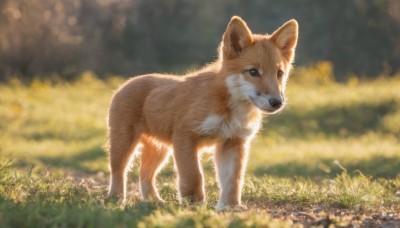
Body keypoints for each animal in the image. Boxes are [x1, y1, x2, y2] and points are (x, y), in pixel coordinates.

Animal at [108, 16, 298, 210]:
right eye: (253, 72)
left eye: (279, 73)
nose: (277, 102)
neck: (229, 108)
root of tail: (127, 82)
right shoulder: (185, 136)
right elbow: (194, 175)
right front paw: (194, 204)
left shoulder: (233, 142)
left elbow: (233, 181)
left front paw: (229, 207)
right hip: (124, 145)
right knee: (118, 171)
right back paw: (116, 200)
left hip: (160, 150)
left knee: (145, 173)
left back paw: (154, 201)